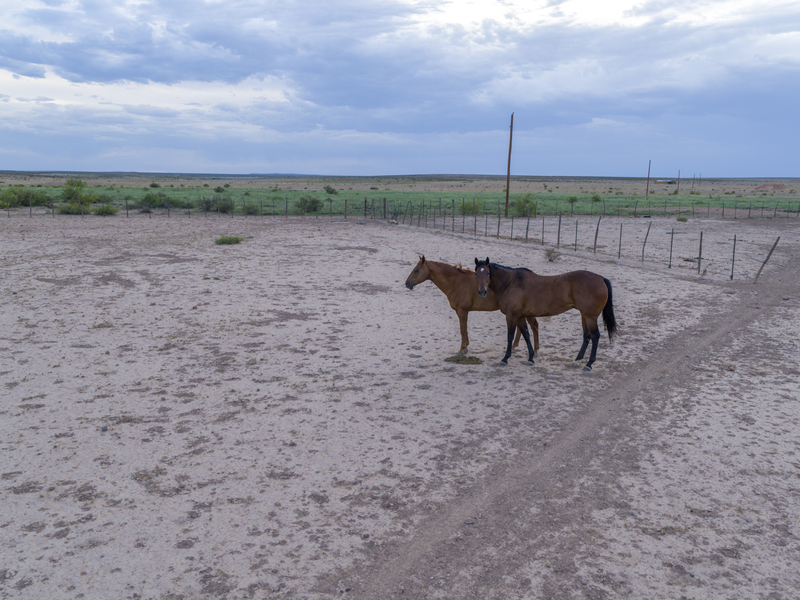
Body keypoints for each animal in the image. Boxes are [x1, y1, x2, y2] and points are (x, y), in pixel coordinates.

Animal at [406, 256, 536, 358]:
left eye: (416, 270)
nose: (407, 283)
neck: (456, 281)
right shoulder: (463, 311)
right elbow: (465, 329)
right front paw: (466, 347)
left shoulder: (462, 311)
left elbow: (462, 329)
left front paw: (461, 350)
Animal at [476, 258, 620, 370]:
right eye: (476, 274)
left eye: (488, 273)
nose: (482, 291)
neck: (510, 283)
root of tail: (601, 278)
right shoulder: (520, 316)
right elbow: (526, 335)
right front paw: (530, 358)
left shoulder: (511, 316)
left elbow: (510, 336)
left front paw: (505, 358)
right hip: (584, 316)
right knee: (587, 336)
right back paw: (577, 360)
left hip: (590, 317)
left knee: (595, 336)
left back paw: (589, 364)